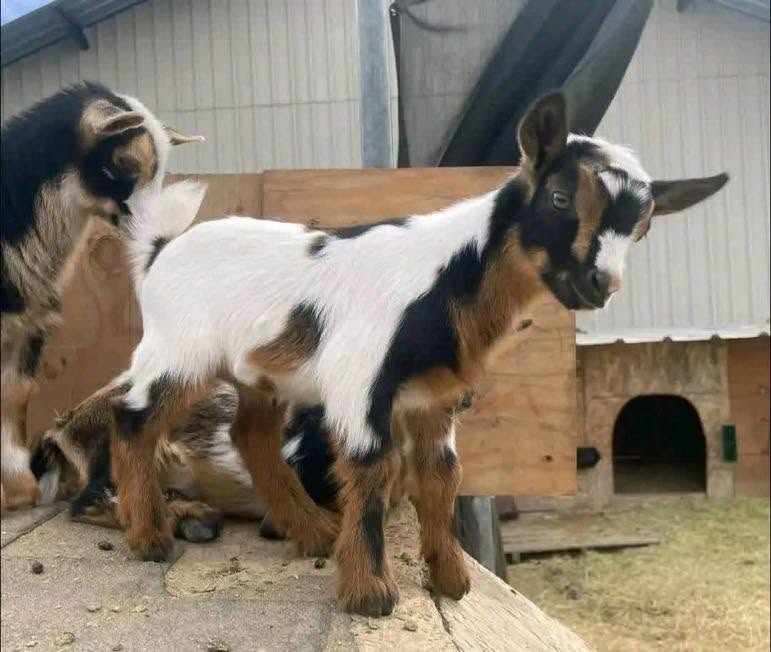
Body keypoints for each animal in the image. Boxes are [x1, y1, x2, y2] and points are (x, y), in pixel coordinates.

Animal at [110, 92, 728, 616]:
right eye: (559, 197)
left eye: (641, 230)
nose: (601, 285)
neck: (450, 275)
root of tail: (161, 249)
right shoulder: (360, 379)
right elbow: (372, 469)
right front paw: (369, 594)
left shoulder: (436, 397)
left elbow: (442, 475)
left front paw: (451, 580)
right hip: (176, 347)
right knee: (133, 417)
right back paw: (149, 538)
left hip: (256, 373)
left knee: (251, 435)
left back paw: (313, 533)